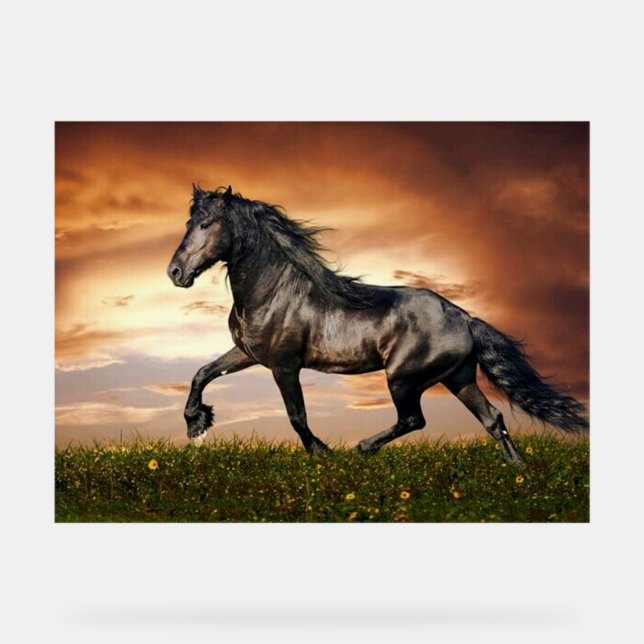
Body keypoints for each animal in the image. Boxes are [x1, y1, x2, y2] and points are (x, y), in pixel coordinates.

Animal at [167, 185, 588, 463]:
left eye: (206, 224)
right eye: (189, 221)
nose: (175, 272)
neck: (273, 291)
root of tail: (465, 318)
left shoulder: (284, 365)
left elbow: (296, 415)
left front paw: (322, 453)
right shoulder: (248, 353)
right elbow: (202, 373)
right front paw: (196, 424)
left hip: (403, 378)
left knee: (414, 419)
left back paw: (362, 448)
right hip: (459, 378)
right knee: (492, 418)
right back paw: (517, 469)